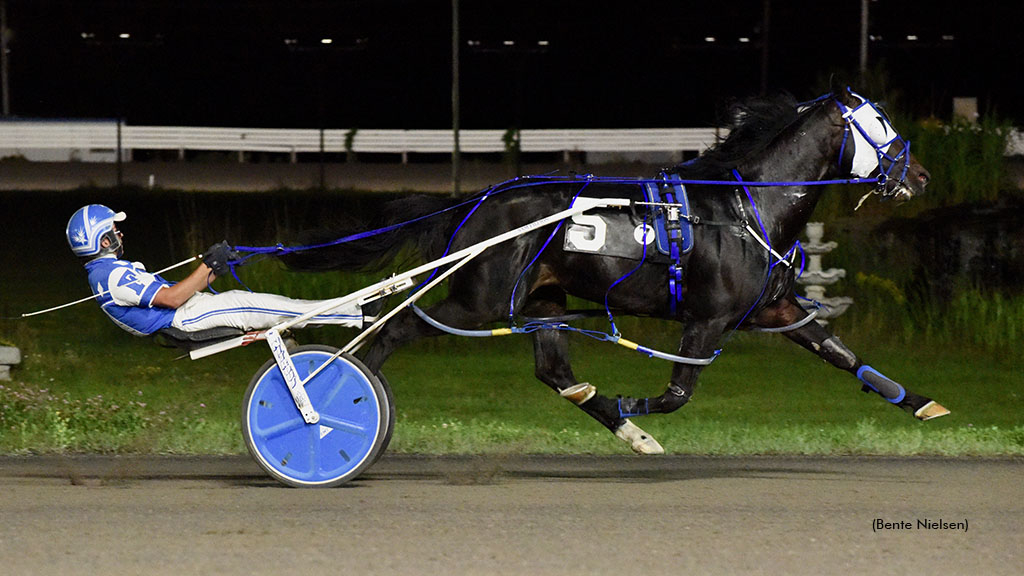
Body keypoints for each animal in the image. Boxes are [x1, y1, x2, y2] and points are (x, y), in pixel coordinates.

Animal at [282, 87, 950, 450]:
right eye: (881, 125)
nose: (920, 175)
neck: (744, 207)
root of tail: (478, 201)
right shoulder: (706, 320)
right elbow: (677, 392)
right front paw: (634, 404)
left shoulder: (774, 308)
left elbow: (840, 353)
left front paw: (921, 403)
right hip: (480, 298)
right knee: (394, 328)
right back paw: (337, 402)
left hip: (543, 301)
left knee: (555, 372)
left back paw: (618, 423)